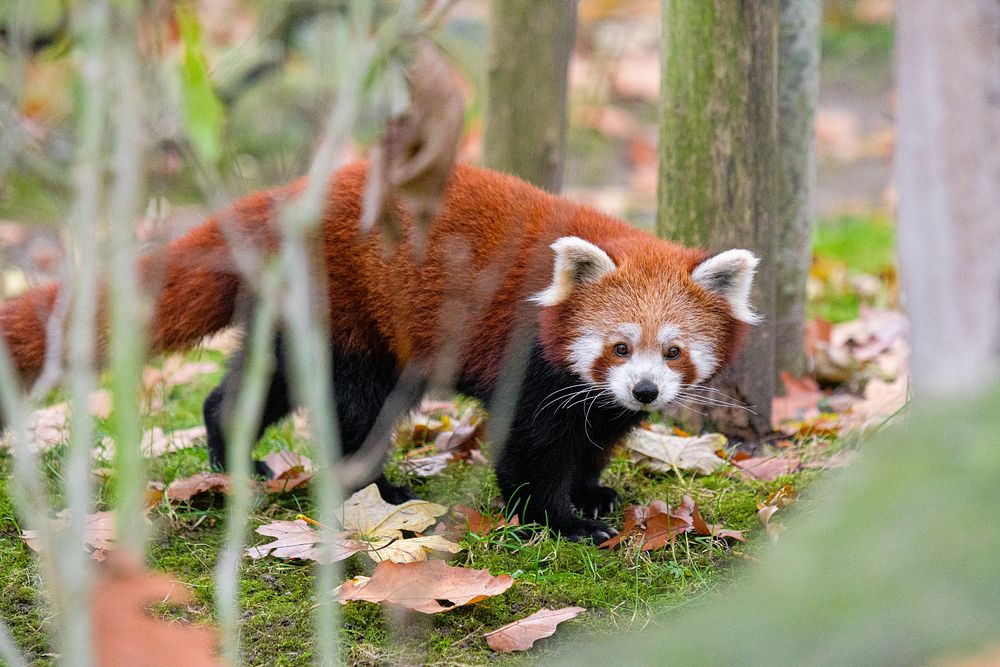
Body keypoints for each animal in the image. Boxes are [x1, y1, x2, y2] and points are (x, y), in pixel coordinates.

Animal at [0, 162, 756, 544]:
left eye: (673, 352)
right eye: (619, 345)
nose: (645, 390)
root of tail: (289, 195)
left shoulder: (594, 400)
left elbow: (592, 439)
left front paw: (591, 492)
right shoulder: (531, 361)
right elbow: (527, 447)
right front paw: (558, 519)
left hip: (298, 309)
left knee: (257, 382)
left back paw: (229, 450)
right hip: (349, 307)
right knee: (354, 404)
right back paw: (377, 488)